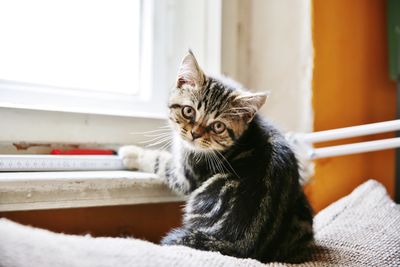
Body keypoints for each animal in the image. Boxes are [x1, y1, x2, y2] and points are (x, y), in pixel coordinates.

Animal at [120, 50, 314, 264]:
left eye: (218, 126)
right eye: (188, 111)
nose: (195, 134)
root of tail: (245, 248)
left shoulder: (188, 175)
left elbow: (160, 162)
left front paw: (132, 153)